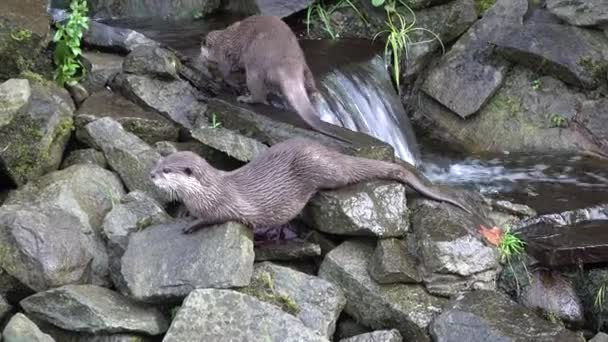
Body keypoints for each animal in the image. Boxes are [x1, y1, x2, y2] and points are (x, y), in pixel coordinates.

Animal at [150, 138, 472, 234]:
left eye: (166, 170)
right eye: (160, 161)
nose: (151, 175)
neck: (208, 191)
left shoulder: (223, 205)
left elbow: (214, 218)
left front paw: (191, 225)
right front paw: (184, 214)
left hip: (323, 169)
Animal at [200, 14, 352, 143]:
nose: (200, 54)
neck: (222, 40)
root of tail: (286, 64)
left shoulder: (224, 58)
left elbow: (226, 74)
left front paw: (226, 82)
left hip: (255, 62)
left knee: (258, 93)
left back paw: (246, 98)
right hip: (303, 63)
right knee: (308, 81)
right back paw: (313, 94)